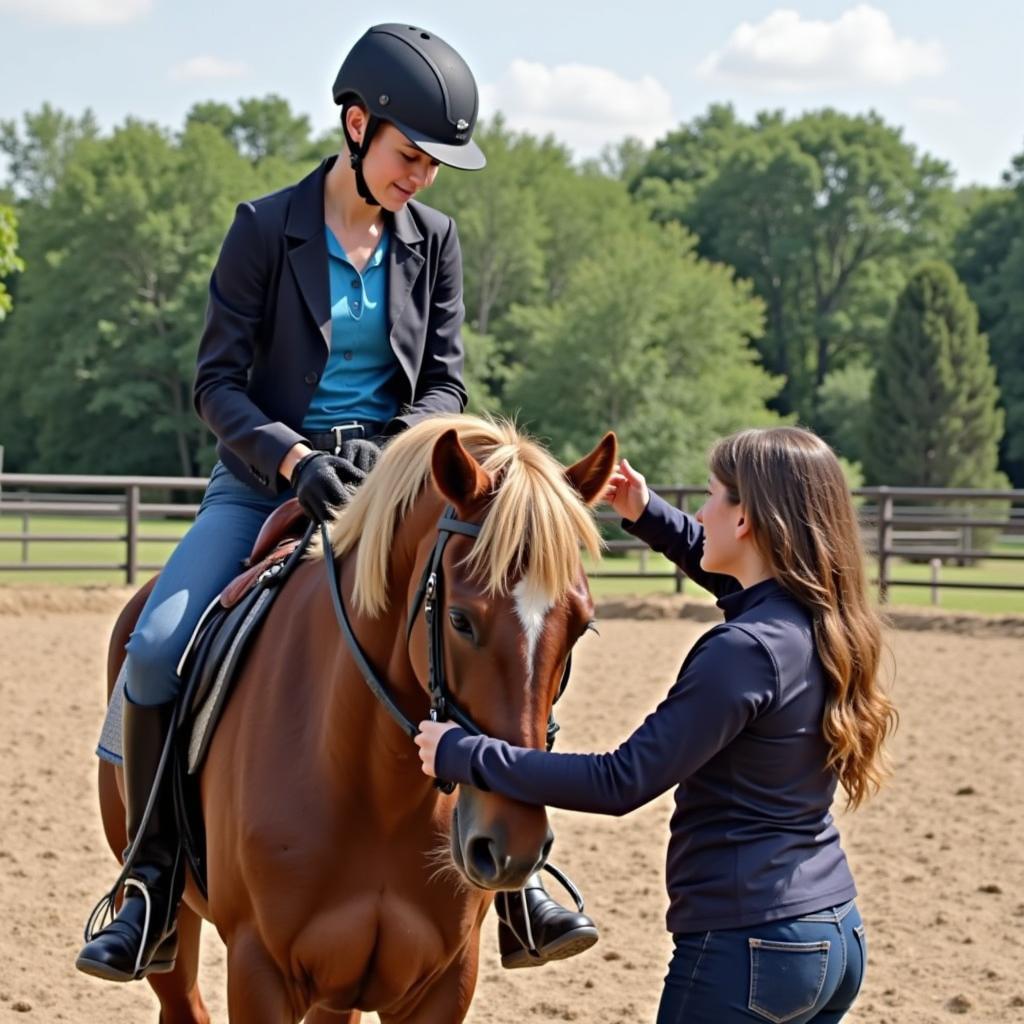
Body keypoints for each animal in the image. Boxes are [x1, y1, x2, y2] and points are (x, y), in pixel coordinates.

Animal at [96, 411, 618, 1019]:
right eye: (460, 620)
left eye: (581, 626)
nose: (513, 847)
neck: (374, 786)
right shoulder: (258, 970)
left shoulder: (445, 980)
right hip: (177, 923)